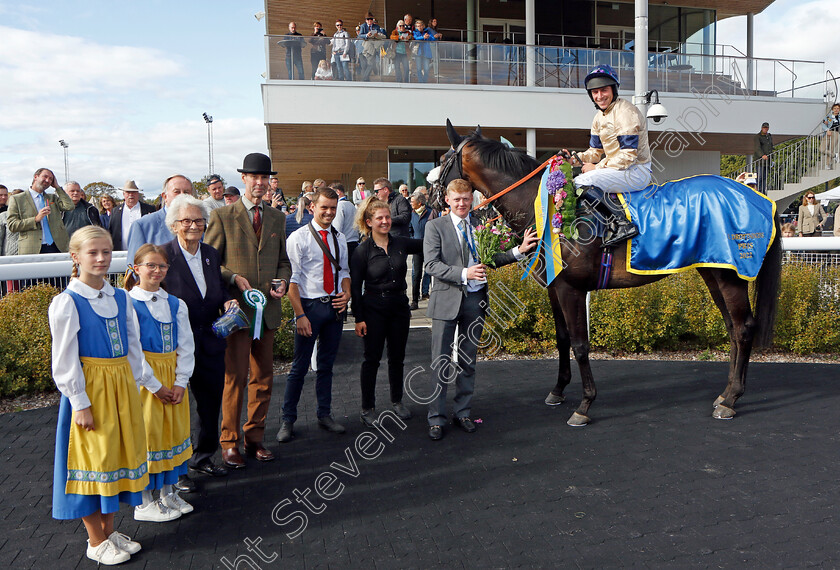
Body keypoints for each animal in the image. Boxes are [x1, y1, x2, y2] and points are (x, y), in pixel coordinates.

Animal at [430, 120, 784, 424]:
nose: (433, 198)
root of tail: (759, 197)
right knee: (733, 328)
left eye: (444, 158)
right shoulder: (554, 287)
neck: (543, 205)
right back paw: (725, 394)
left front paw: (585, 404)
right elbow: (562, 339)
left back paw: (731, 399)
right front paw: (558, 391)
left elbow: (580, 344)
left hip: (730, 276)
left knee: (743, 327)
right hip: (714, 271)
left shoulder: (571, 288)